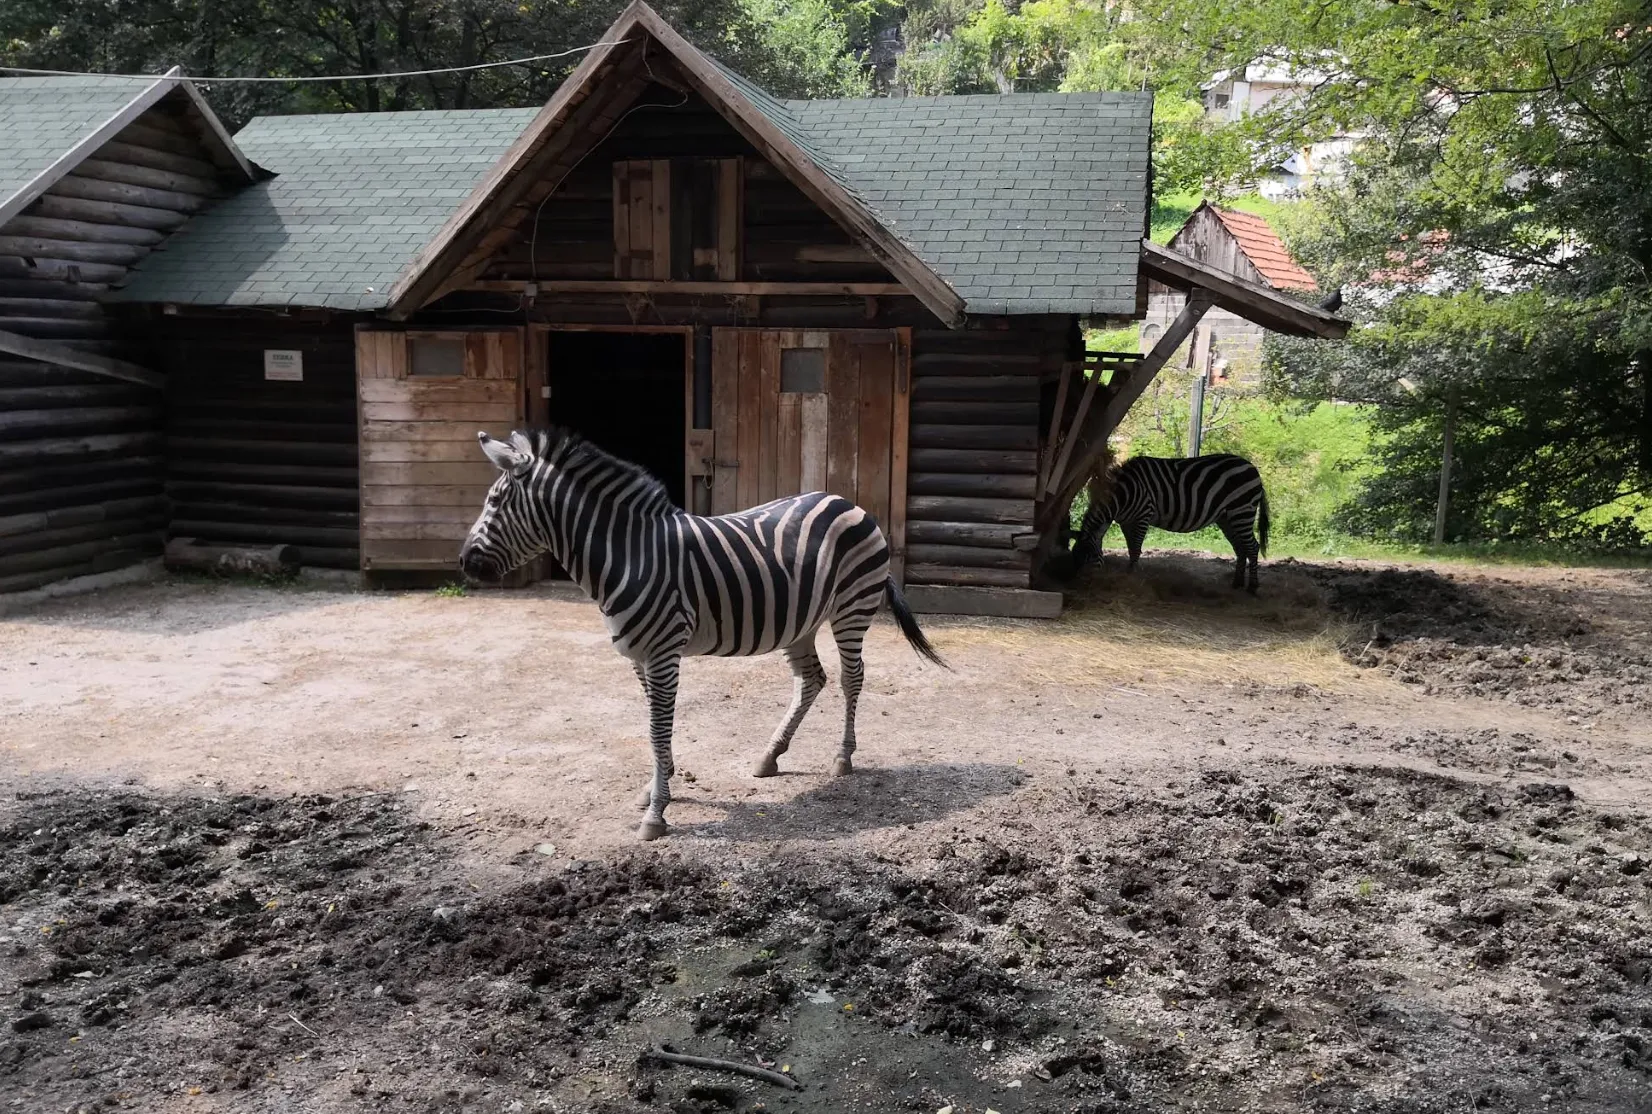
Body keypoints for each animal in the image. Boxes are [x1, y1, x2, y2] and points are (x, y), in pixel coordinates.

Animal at [458, 429, 946, 841]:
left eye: (495, 502)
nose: (463, 562)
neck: (629, 556)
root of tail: (847, 500)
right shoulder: (641, 657)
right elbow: (655, 727)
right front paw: (659, 783)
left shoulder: (663, 653)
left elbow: (657, 728)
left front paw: (656, 812)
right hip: (802, 620)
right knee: (813, 679)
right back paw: (770, 755)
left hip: (851, 608)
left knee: (851, 678)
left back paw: (843, 757)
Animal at [1070, 453, 1271, 592]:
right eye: (1074, 556)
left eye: (1090, 558)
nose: (1077, 583)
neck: (1124, 493)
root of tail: (1253, 468)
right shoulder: (1125, 522)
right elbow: (1130, 548)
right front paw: (1128, 573)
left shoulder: (1143, 516)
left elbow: (1135, 549)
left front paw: (1132, 575)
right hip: (1227, 518)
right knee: (1240, 547)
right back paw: (1237, 583)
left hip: (1242, 510)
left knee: (1252, 546)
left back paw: (1252, 587)